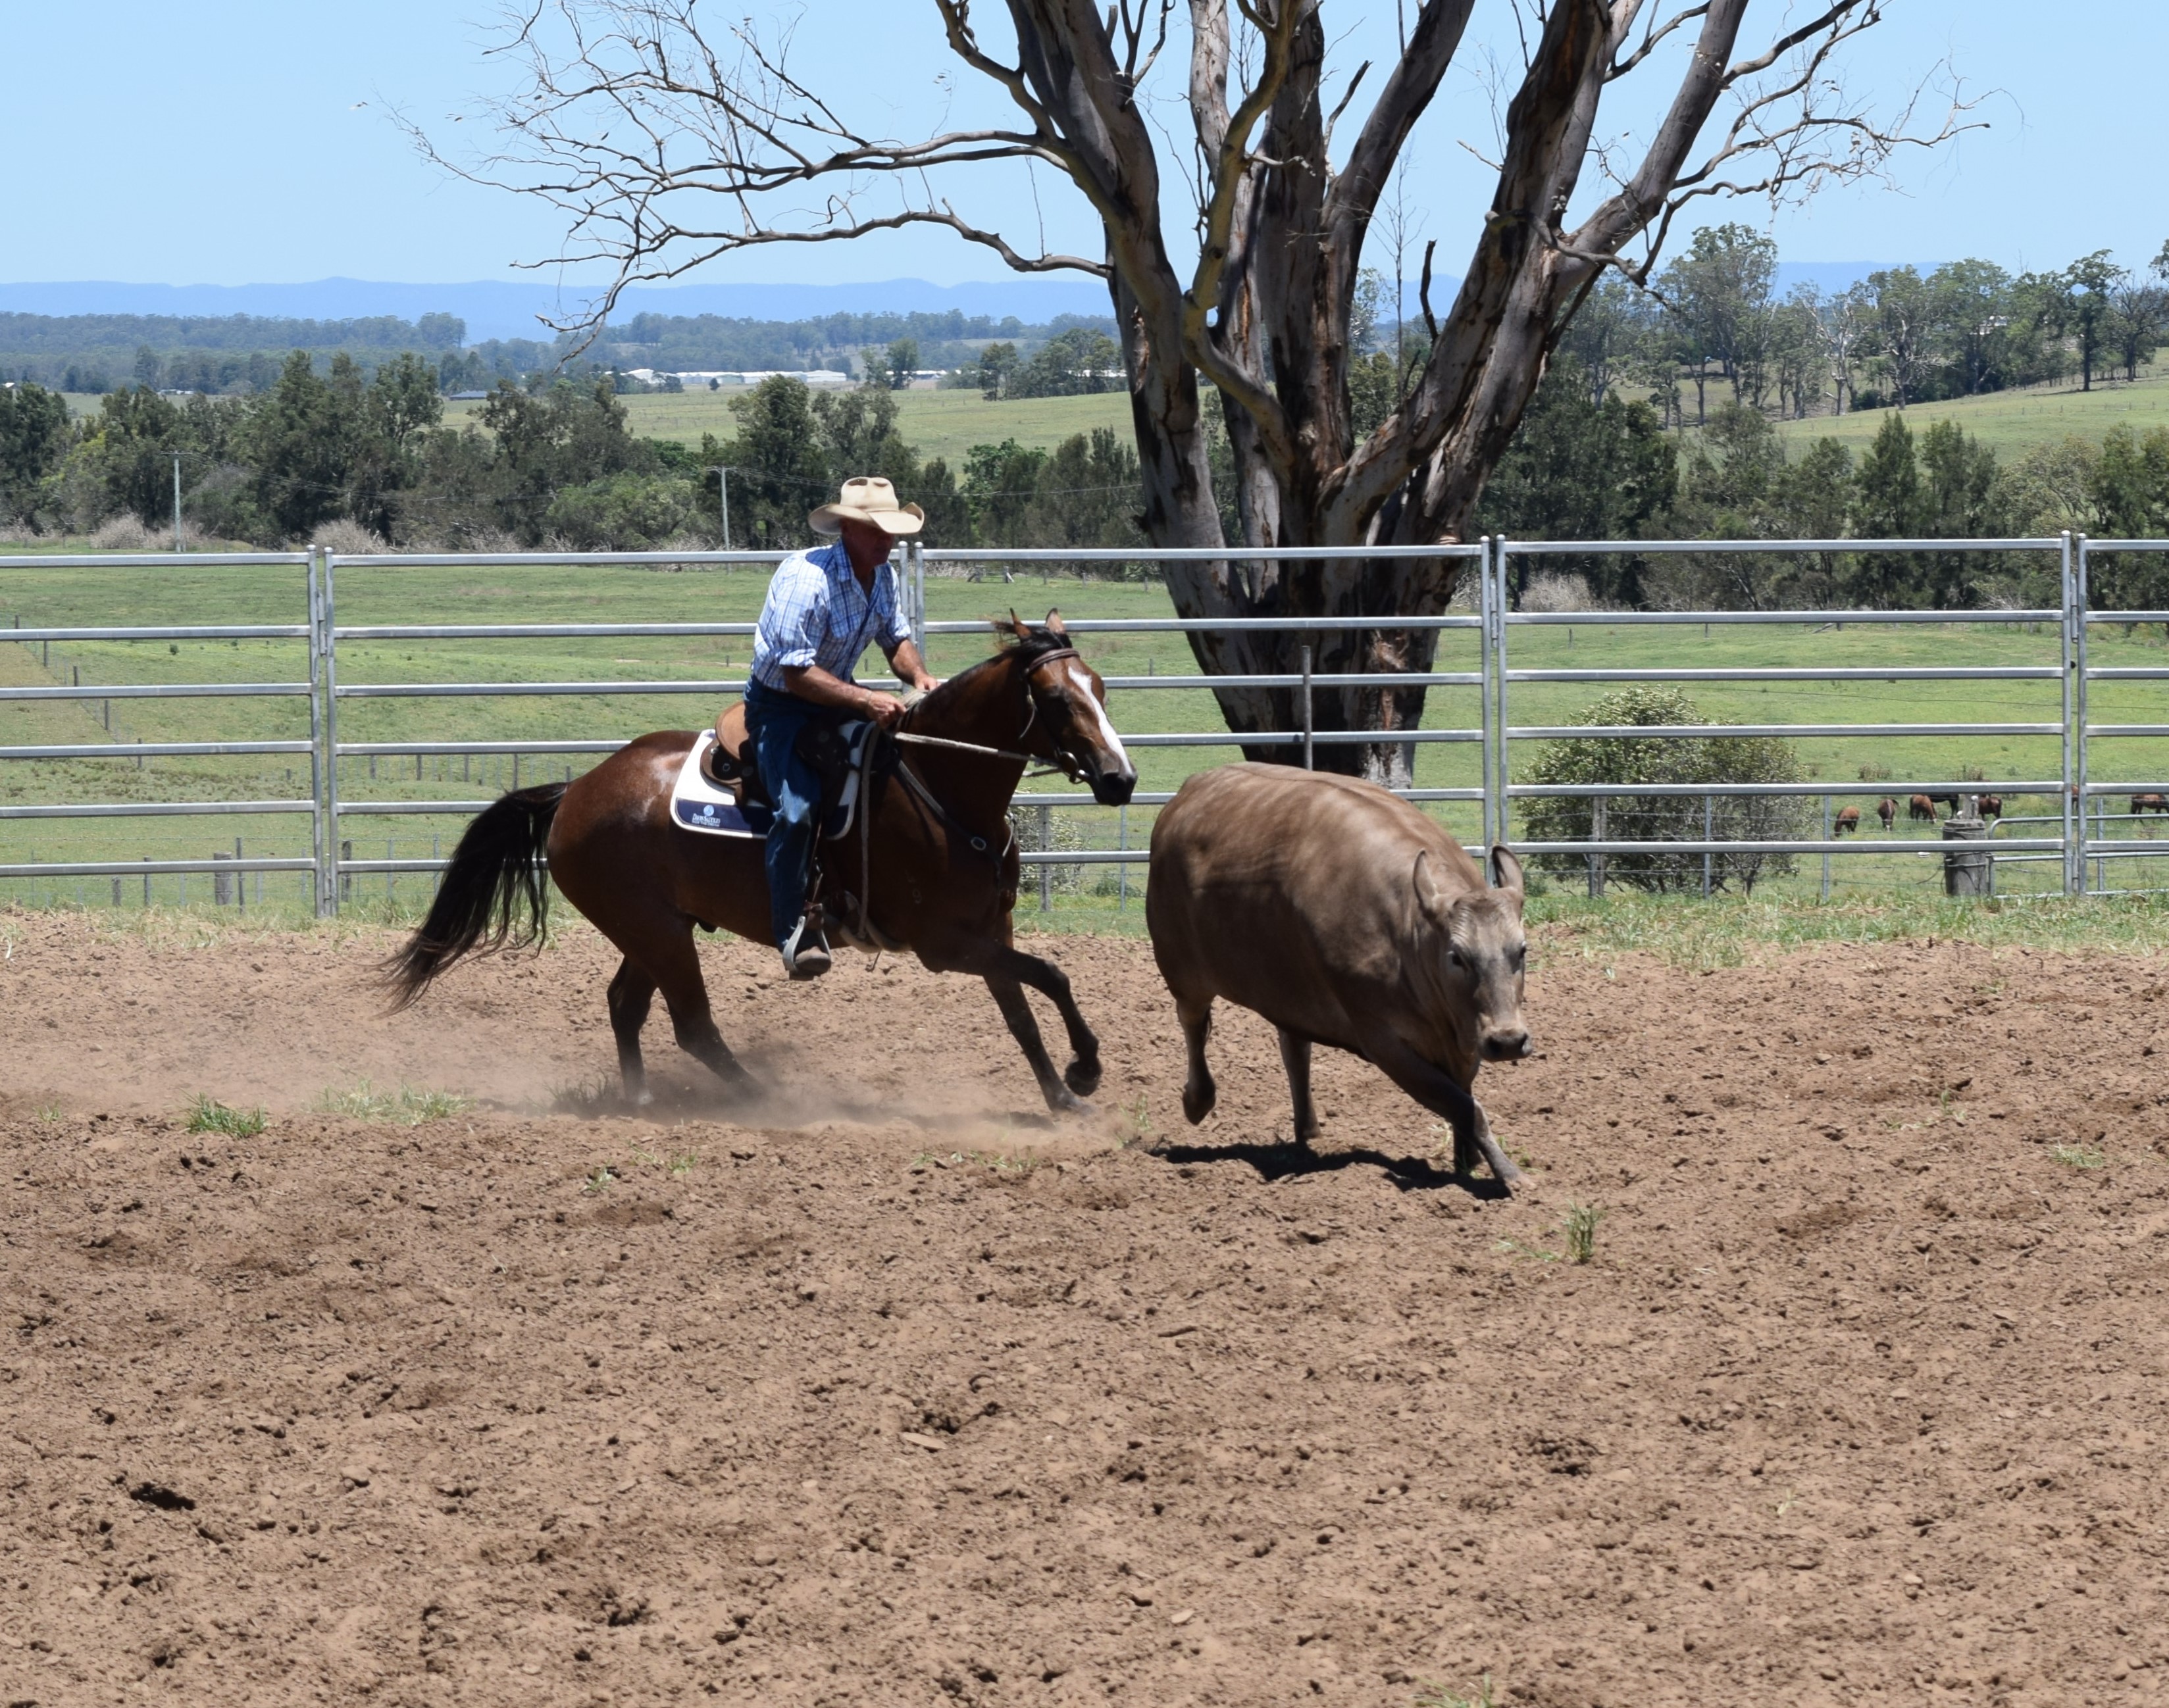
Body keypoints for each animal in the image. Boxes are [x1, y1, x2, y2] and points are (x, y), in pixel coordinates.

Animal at [385, 616, 1137, 1114]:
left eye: (1101, 688)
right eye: (1058, 700)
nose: (1120, 779)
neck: (939, 786)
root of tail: (573, 792)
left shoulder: (990, 931)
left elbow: (1027, 1007)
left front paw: (1066, 1094)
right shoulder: (942, 944)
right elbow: (1051, 973)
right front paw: (1086, 1071)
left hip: (653, 929)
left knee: (627, 1007)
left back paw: (642, 1101)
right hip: (656, 931)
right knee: (692, 1025)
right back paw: (768, 1100)